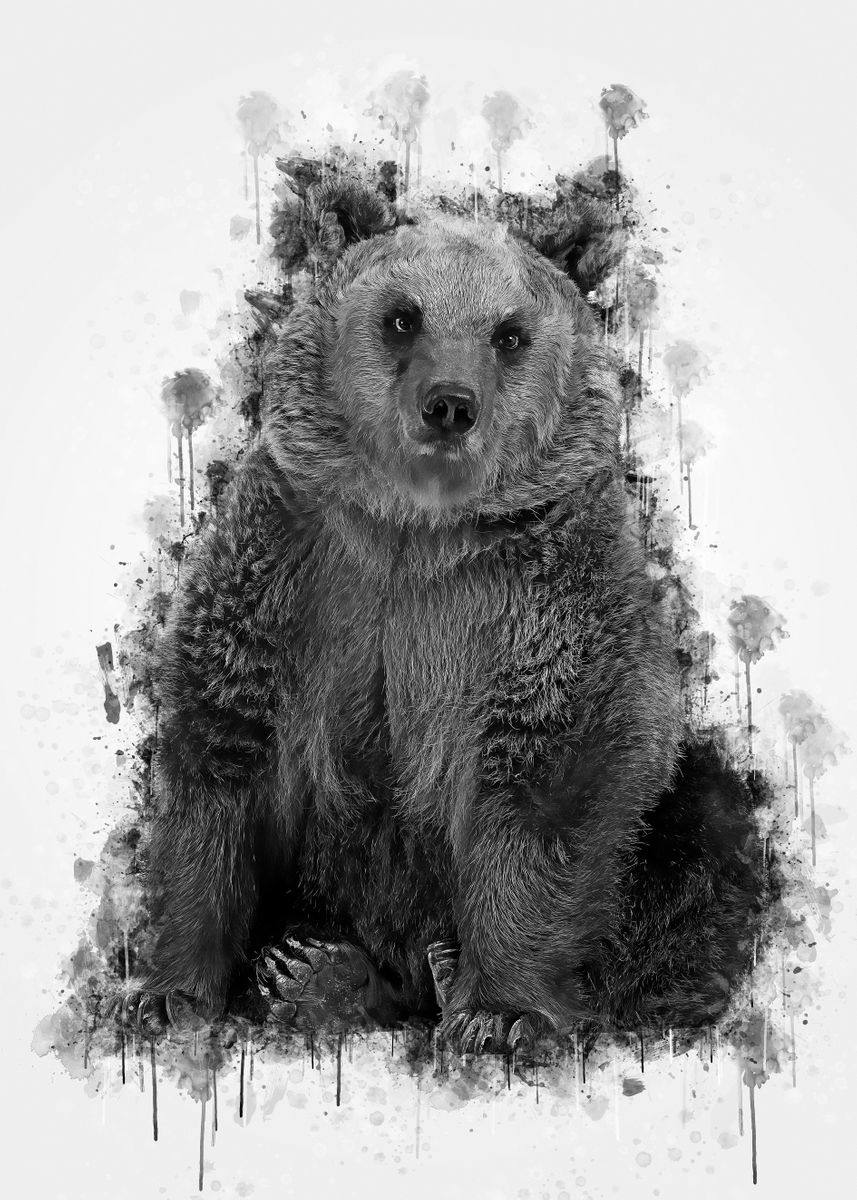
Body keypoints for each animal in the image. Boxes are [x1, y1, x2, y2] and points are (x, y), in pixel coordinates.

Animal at [123, 179, 764, 1050]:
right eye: (403, 315)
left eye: (508, 333)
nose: (449, 405)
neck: (416, 526)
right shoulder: (293, 560)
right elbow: (225, 743)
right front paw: (171, 992)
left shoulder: (544, 592)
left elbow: (545, 774)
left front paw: (499, 1012)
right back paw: (311, 965)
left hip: (670, 812)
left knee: (702, 835)